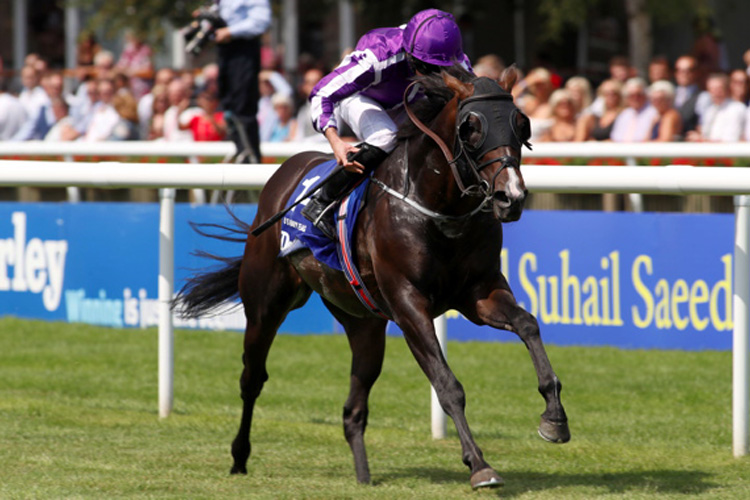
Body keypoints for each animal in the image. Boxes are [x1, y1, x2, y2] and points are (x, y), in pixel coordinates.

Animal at [175, 65, 568, 488]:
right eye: (471, 128)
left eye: (521, 124)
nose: (511, 197)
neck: (438, 207)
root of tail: (283, 175)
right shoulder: (409, 304)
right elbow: (447, 385)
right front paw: (479, 465)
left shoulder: (479, 293)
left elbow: (527, 324)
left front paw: (554, 418)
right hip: (266, 303)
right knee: (252, 378)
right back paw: (239, 456)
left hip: (363, 323)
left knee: (353, 409)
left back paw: (363, 476)